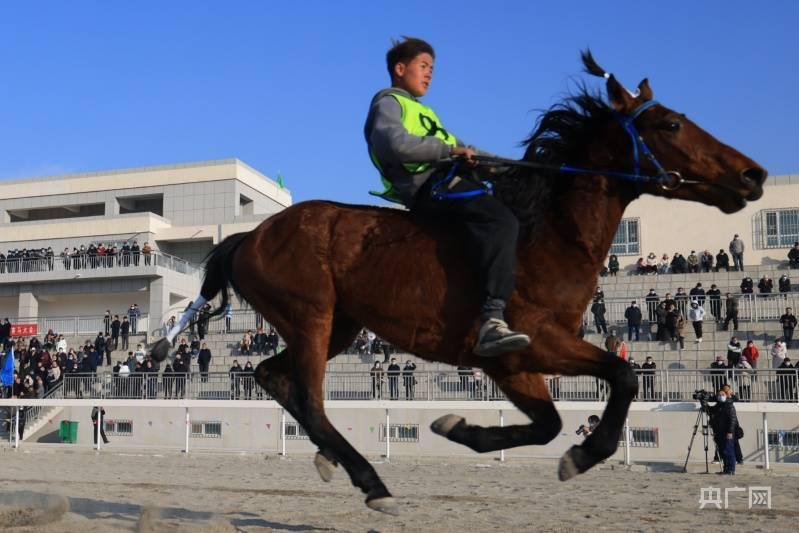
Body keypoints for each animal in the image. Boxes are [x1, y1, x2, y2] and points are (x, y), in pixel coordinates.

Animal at [147, 52, 764, 512]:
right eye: (671, 124)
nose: (753, 173)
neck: (548, 233)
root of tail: (250, 235)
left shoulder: (522, 361)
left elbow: (552, 421)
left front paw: (463, 428)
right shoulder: (528, 346)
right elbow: (621, 379)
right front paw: (579, 455)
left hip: (336, 327)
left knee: (273, 378)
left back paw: (333, 458)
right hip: (311, 317)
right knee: (310, 399)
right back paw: (370, 480)